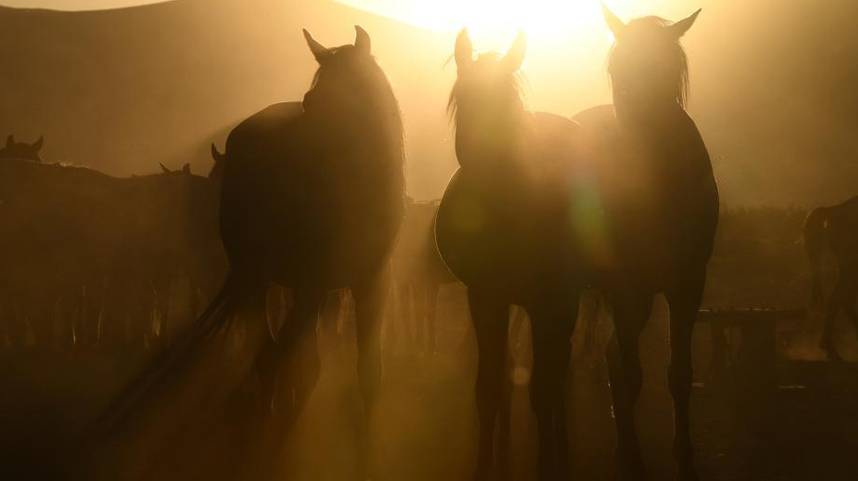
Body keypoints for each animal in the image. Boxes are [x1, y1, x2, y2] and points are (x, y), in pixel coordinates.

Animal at [98, 27, 406, 480]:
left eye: (349, 98)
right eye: (311, 101)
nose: (304, 166)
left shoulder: (371, 285)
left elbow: (367, 375)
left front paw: (365, 456)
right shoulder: (313, 285)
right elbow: (281, 359)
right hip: (259, 279)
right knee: (272, 353)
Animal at [434, 30, 588, 480]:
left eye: (507, 104)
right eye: (462, 99)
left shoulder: (549, 302)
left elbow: (540, 390)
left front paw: (545, 465)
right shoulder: (486, 298)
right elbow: (488, 389)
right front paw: (484, 465)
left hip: (564, 303)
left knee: (558, 372)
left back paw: (562, 454)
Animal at [572, 8, 720, 480]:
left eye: (668, 72)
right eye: (617, 71)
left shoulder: (687, 284)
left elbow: (679, 373)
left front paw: (684, 455)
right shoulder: (625, 286)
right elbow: (633, 374)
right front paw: (634, 459)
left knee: (612, 358)